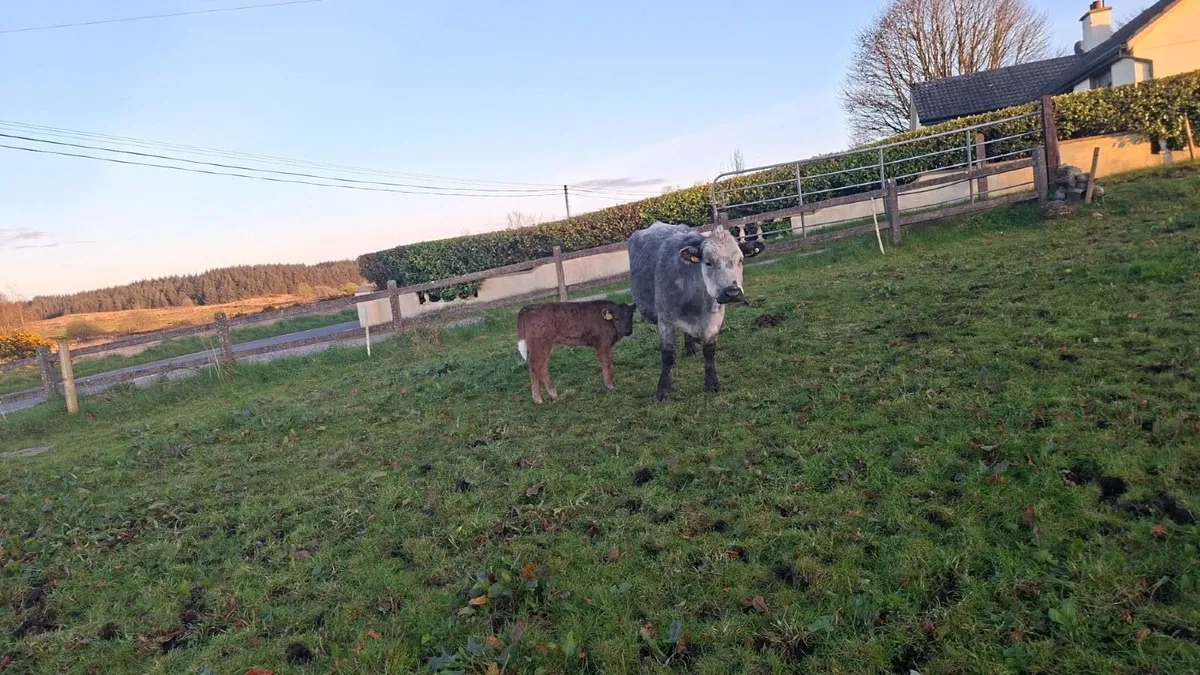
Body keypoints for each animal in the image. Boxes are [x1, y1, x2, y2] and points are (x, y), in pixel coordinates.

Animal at [627, 222, 764, 401]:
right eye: (708, 262)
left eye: (740, 260)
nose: (732, 292)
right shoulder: (665, 320)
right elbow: (668, 355)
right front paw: (662, 391)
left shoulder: (715, 319)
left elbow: (709, 352)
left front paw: (712, 384)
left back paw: (690, 349)